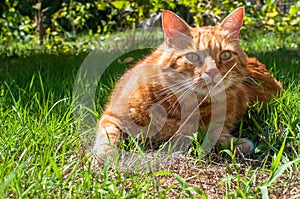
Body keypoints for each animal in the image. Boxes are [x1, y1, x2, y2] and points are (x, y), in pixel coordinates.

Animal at [93, 7, 282, 159]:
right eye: (192, 57)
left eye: (225, 55)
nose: (212, 72)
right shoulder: (112, 117)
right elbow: (108, 138)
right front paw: (106, 157)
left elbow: (213, 135)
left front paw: (237, 143)